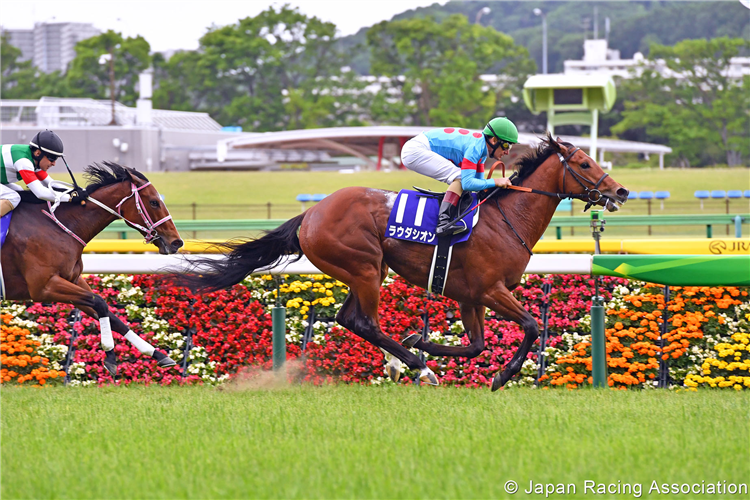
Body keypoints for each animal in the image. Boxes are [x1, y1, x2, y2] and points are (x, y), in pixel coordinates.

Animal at [1, 162, 185, 376]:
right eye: (154, 202)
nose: (176, 242)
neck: (55, 227)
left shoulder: (72, 280)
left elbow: (110, 314)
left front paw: (157, 353)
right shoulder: (44, 287)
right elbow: (100, 303)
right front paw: (110, 355)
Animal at [182, 135, 628, 388]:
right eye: (585, 164)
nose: (621, 191)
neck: (507, 220)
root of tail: (310, 214)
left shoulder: (470, 297)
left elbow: (476, 345)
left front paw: (421, 341)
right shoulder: (491, 290)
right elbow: (533, 326)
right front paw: (501, 376)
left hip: (367, 270)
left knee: (349, 318)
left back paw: (406, 361)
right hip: (363, 266)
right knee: (365, 322)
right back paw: (416, 367)